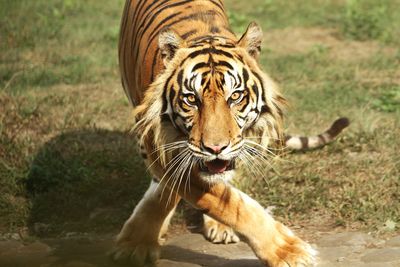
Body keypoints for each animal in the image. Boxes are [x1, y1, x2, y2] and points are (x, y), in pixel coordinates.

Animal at [111, 1, 348, 266]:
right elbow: (228, 204)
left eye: (235, 96)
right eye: (191, 99)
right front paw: (289, 252)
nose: (215, 148)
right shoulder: (160, 143)